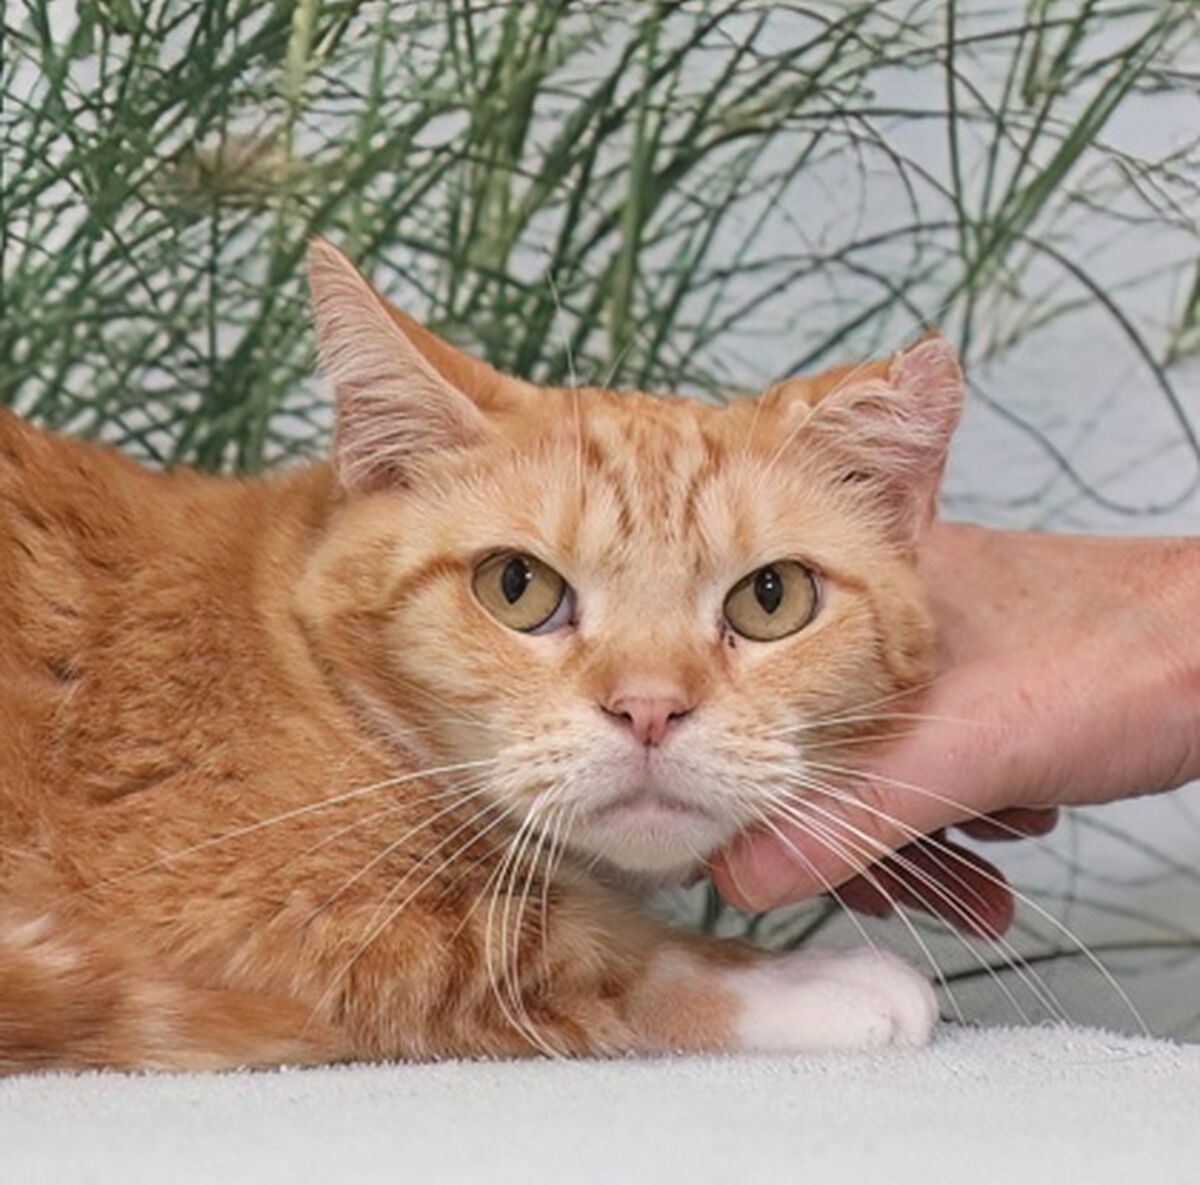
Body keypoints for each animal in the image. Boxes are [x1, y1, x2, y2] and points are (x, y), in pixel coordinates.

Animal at [0, 239, 962, 1071]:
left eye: (771, 598)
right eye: (517, 587)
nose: (649, 707)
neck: (296, 654)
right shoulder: (254, 915)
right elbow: (572, 947)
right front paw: (805, 981)